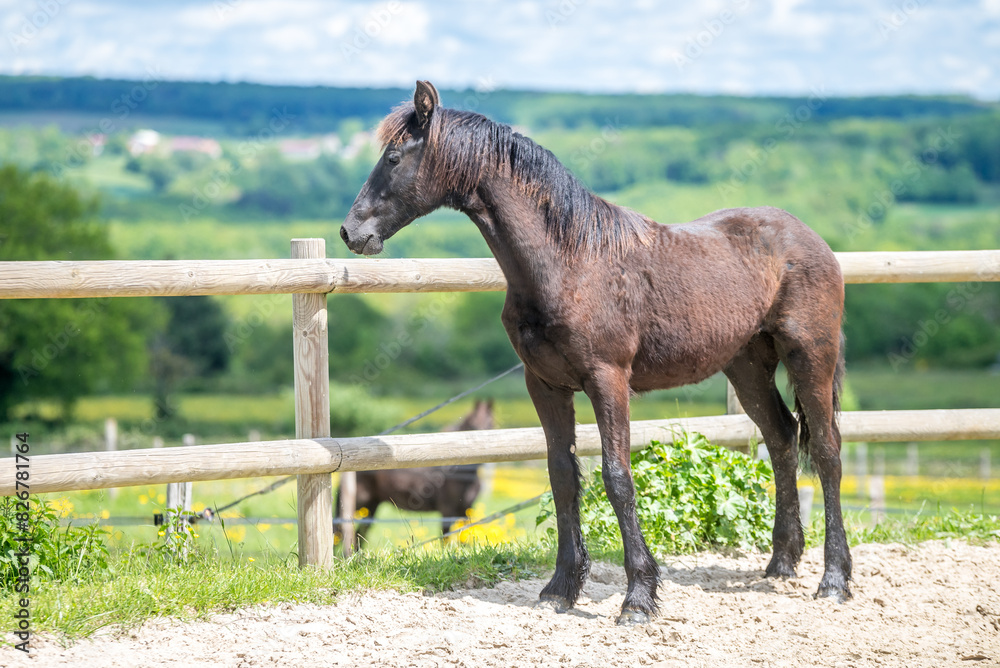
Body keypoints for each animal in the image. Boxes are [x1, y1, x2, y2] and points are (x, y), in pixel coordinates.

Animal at [335, 398, 495, 550]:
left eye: (490, 423)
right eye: (472, 425)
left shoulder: (465, 510)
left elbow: (464, 538)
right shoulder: (447, 510)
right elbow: (446, 538)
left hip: (371, 506)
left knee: (359, 534)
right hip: (360, 503)